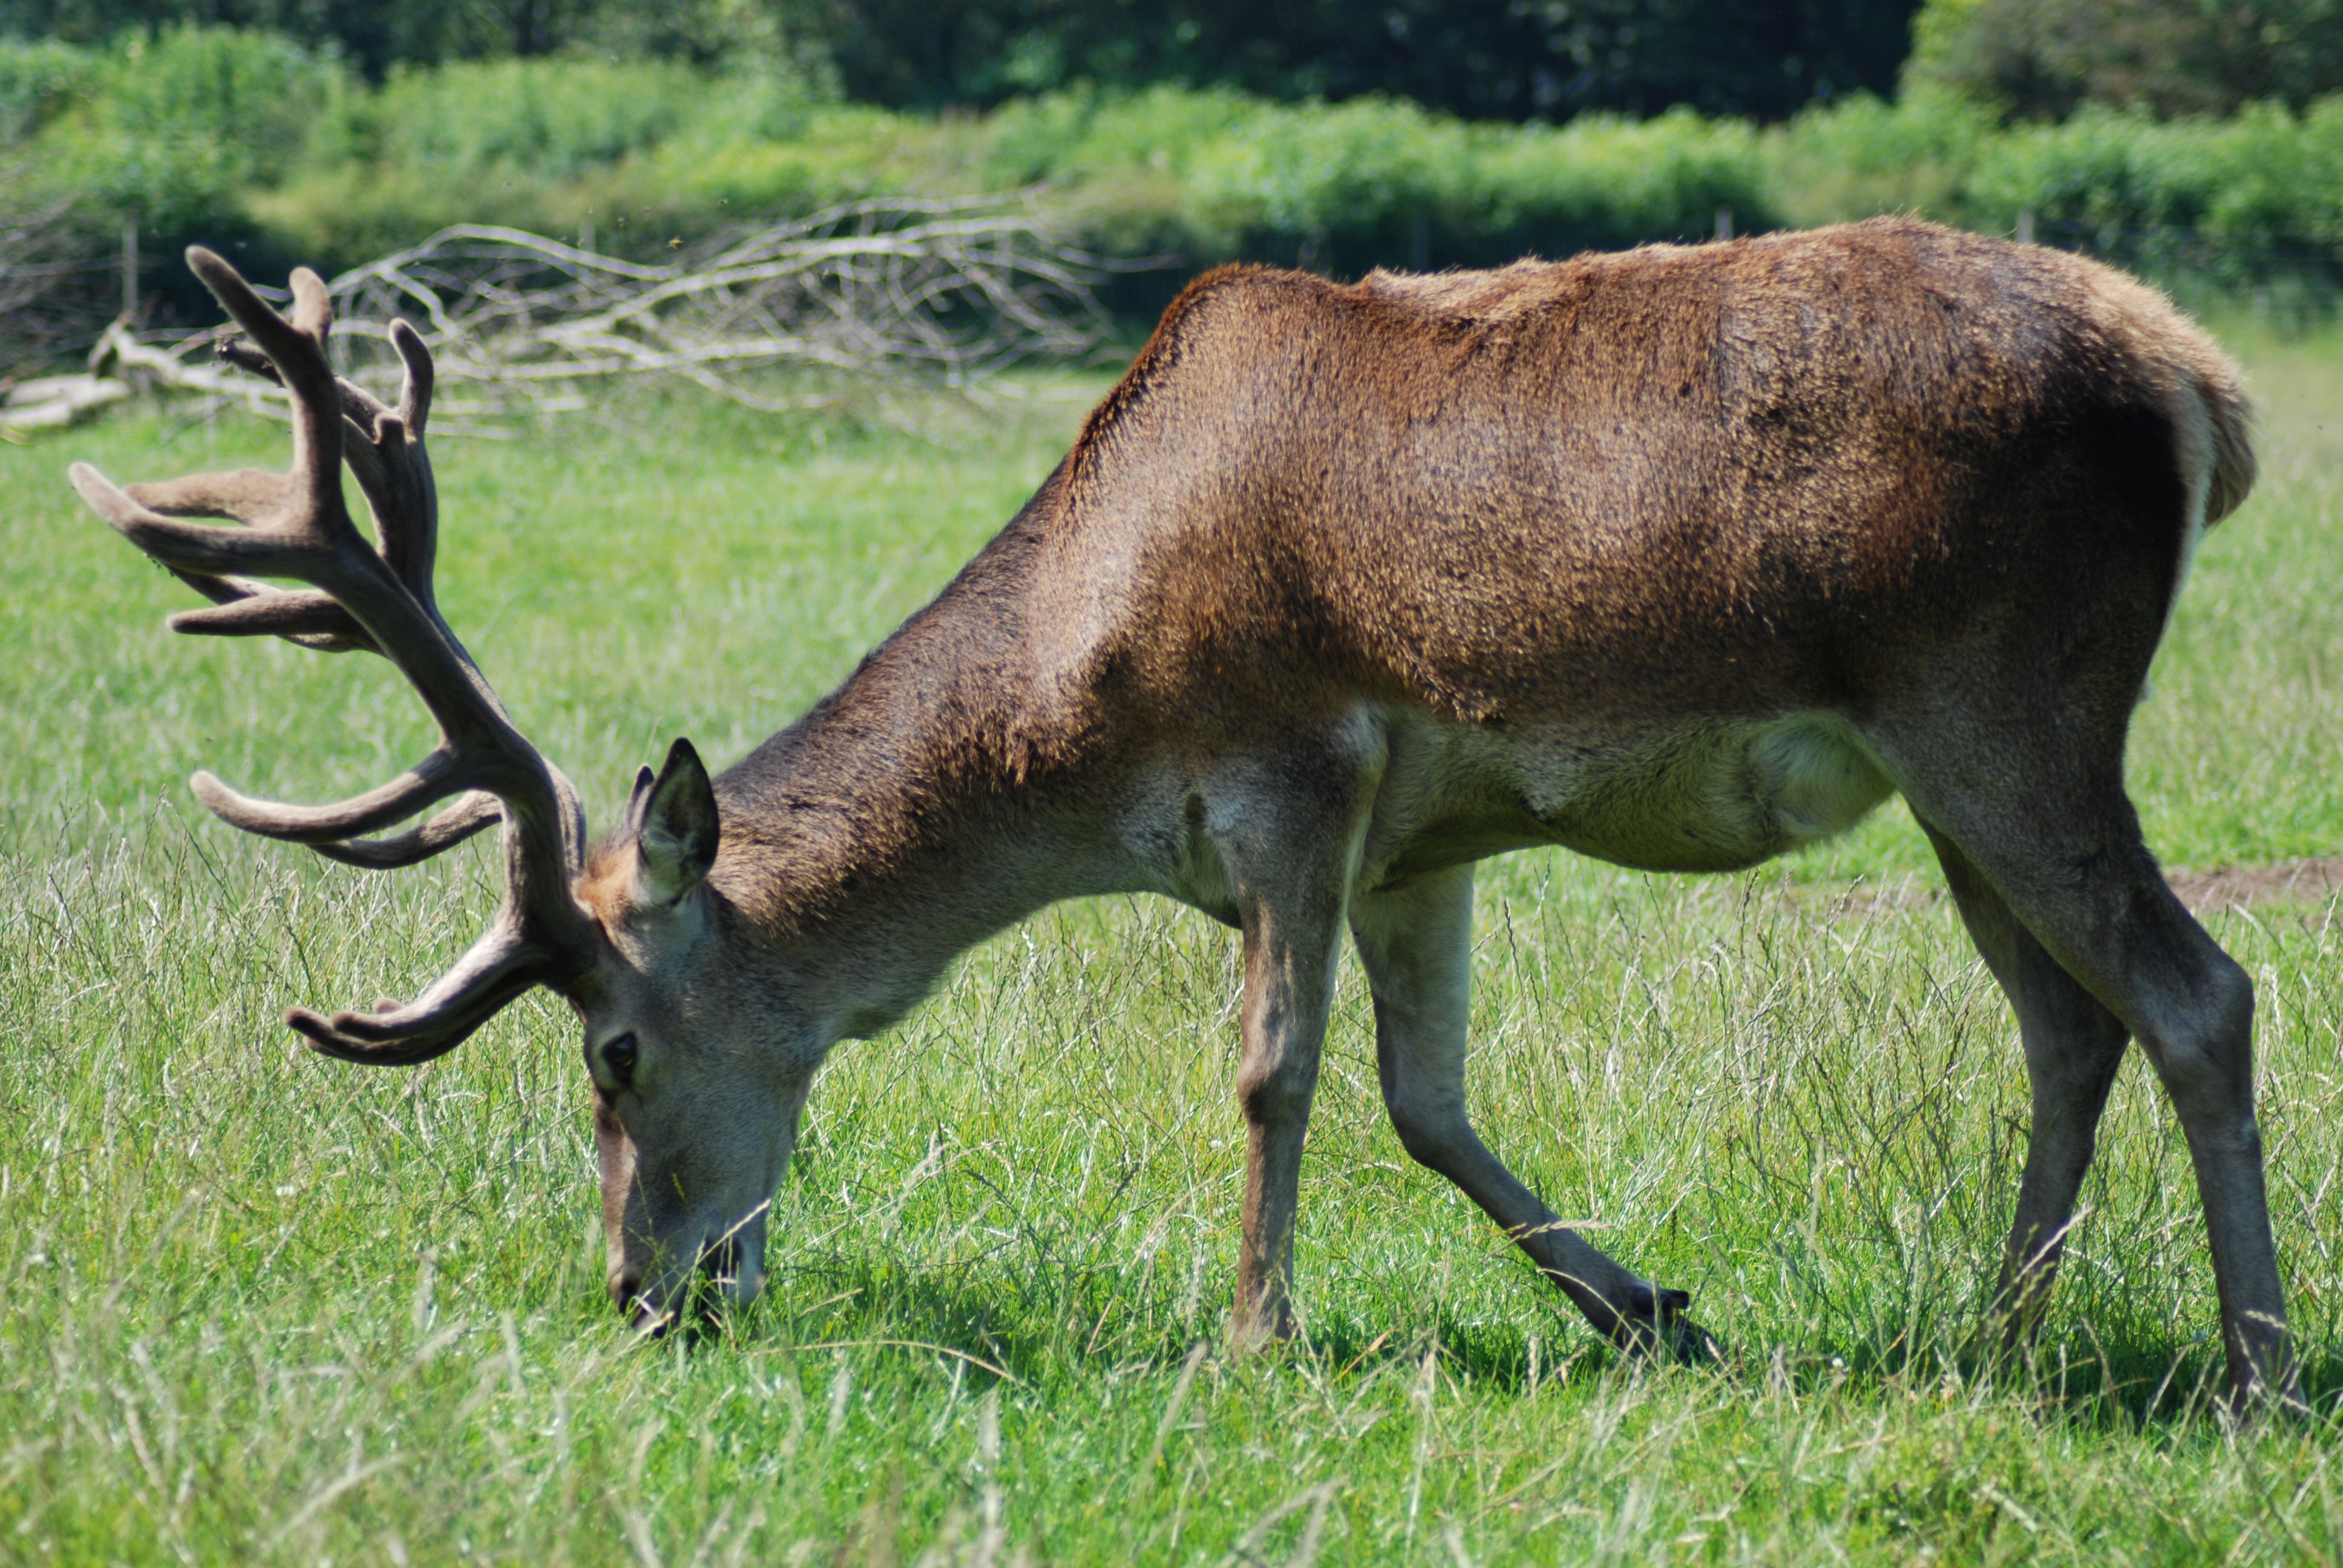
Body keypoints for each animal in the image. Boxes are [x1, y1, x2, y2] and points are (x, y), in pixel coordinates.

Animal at [73, 214, 2287, 1397]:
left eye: (612, 1050)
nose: (643, 1289)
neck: (1090, 724)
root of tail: (2200, 386)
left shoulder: (1298, 763)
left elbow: (1275, 1074)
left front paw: (1255, 1339)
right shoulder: (1425, 837)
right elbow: (1427, 1095)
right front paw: (1652, 1310)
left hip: (2008, 702)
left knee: (2197, 991)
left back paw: (2257, 1367)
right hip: (1944, 768)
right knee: (2066, 1013)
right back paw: (2000, 1336)